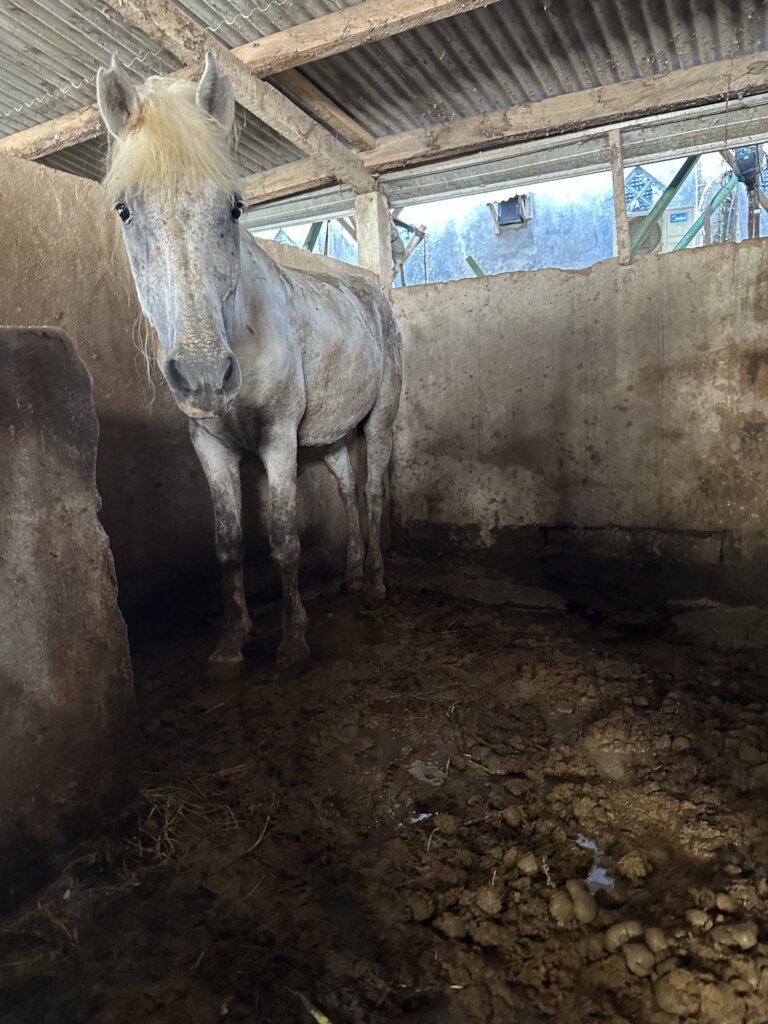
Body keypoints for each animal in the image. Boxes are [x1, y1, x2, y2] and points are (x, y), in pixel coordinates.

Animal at [96, 53, 402, 674]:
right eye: (124, 209)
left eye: (234, 207)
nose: (205, 377)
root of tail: (376, 293)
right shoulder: (210, 447)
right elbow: (228, 544)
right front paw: (231, 642)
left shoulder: (278, 439)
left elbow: (284, 536)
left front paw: (293, 642)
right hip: (334, 437)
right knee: (350, 492)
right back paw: (352, 577)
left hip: (378, 422)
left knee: (376, 490)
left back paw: (378, 585)